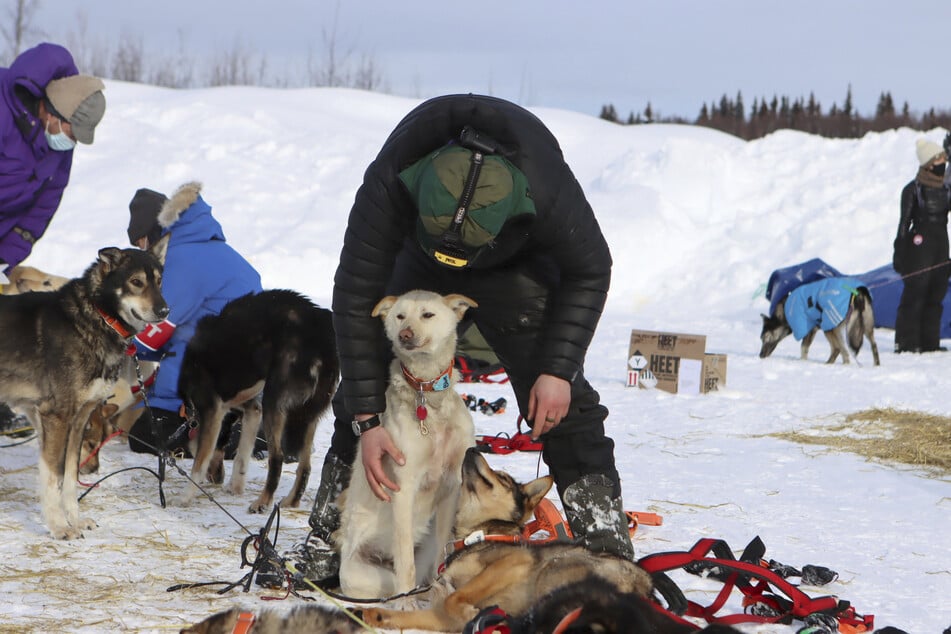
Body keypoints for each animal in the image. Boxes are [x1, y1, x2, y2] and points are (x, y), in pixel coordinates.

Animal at [0, 237, 169, 540]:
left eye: (159, 282)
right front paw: (58, 526)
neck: (98, 318)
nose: (164, 311)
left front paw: (75, 521)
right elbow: (53, 478)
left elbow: (68, 478)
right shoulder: (56, 418)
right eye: (136, 282)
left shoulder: (78, 421)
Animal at [178, 288, 338, 512]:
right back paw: (290, 501)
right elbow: (241, 456)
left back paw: (262, 502)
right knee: (305, 465)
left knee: (277, 458)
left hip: (275, 404)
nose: (217, 478)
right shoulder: (251, 410)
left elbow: (200, 460)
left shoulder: (212, 411)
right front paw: (236, 486)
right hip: (305, 415)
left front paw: (186, 496)